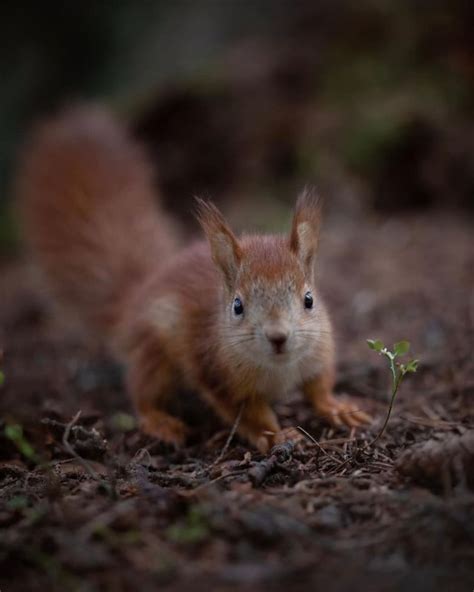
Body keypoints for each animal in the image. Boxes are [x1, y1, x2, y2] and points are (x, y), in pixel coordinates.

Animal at [17, 106, 370, 450]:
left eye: (309, 300)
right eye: (237, 306)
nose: (278, 336)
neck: (278, 368)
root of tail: (139, 293)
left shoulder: (320, 350)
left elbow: (319, 387)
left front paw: (338, 407)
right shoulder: (214, 372)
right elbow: (249, 413)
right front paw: (275, 435)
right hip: (154, 353)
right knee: (142, 393)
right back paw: (160, 422)